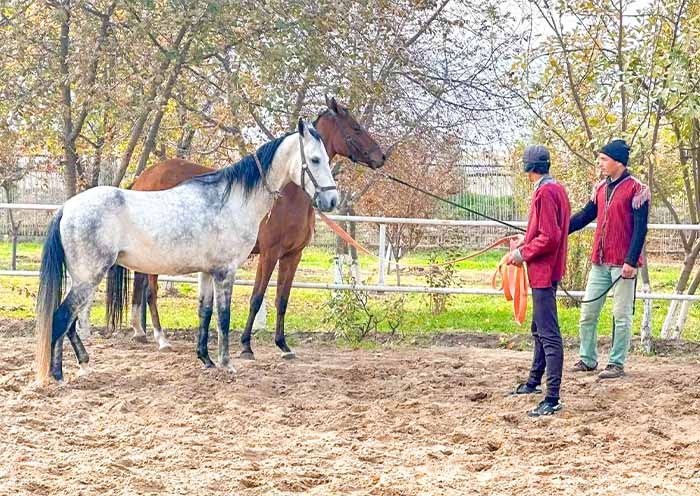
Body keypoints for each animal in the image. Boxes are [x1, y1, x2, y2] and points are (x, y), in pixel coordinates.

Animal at [35, 119, 337, 383]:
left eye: (326, 158)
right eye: (315, 160)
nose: (332, 200)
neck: (230, 201)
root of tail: (67, 208)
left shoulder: (207, 272)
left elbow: (205, 312)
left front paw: (206, 360)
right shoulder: (225, 272)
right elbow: (223, 317)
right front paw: (227, 364)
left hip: (81, 278)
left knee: (69, 322)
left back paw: (82, 366)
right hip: (88, 278)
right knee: (61, 318)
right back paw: (58, 375)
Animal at [118, 97, 384, 359]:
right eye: (356, 128)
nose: (380, 156)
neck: (287, 195)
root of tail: (143, 178)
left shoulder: (292, 256)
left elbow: (282, 299)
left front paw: (283, 345)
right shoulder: (269, 254)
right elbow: (257, 297)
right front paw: (246, 346)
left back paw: (140, 331)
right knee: (151, 291)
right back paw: (161, 338)